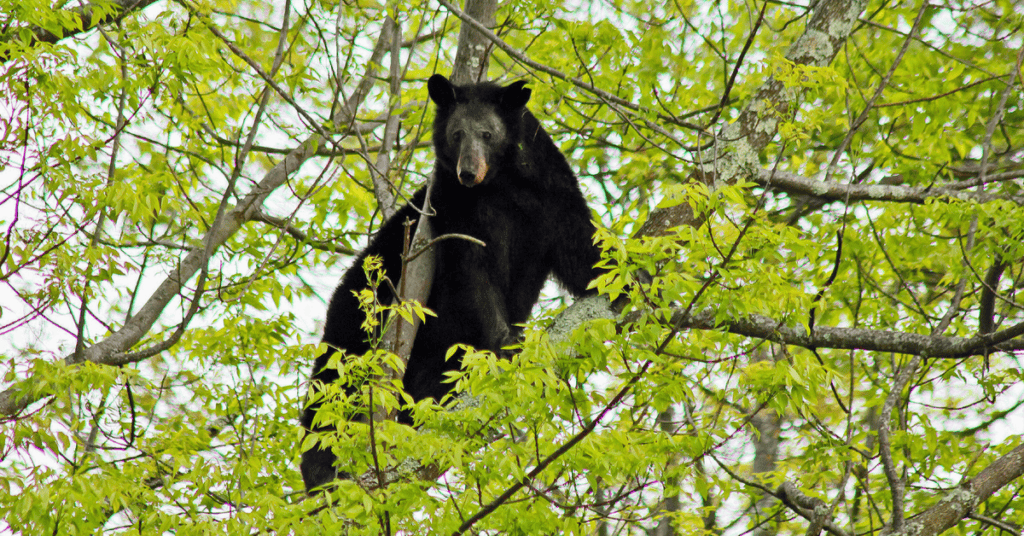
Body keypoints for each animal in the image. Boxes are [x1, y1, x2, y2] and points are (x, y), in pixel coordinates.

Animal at [300, 74, 603, 492]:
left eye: (488, 133)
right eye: (457, 134)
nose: (468, 172)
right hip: (358, 313)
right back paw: (322, 470)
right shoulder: (454, 210)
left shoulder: (550, 193)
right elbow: (473, 275)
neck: (500, 185)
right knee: (333, 387)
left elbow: (581, 247)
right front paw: (504, 343)